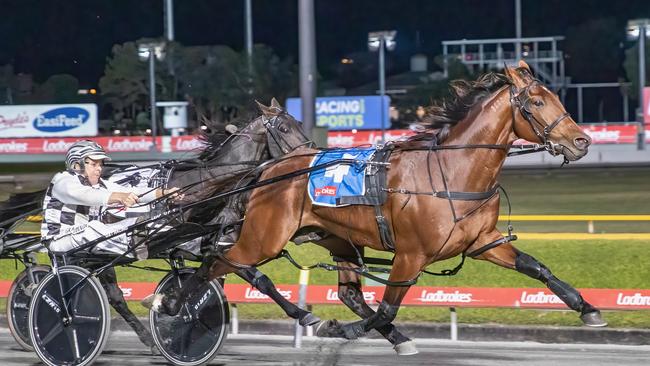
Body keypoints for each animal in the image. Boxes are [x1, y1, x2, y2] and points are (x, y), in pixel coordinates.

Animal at [149, 62, 604, 354]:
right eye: (537, 102)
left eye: (554, 95)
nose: (582, 141)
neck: (450, 172)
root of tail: (268, 169)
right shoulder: (411, 254)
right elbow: (386, 307)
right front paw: (343, 330)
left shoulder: (482, 242)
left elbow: (537, 267)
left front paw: (589, 309)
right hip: (264, 238)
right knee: (219, 262)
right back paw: (173, 306)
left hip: (336, 239)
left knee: (345, 290)